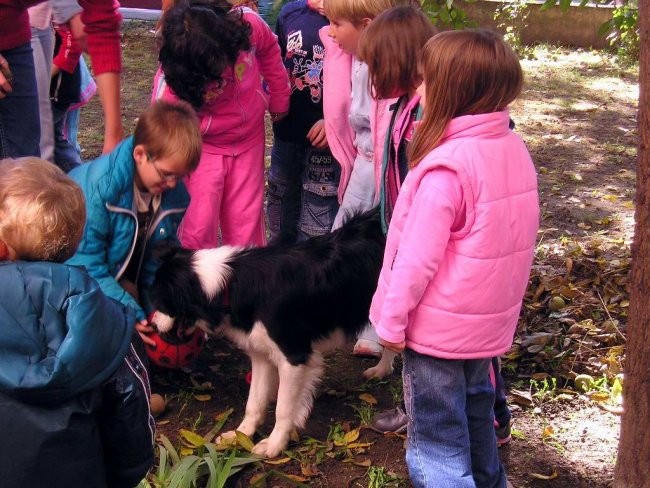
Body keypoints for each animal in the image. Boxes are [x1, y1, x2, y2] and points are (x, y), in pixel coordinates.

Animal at [151, 210, 394, 458]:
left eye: (160, 301)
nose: (151, 326)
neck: (230, 283)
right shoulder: (261, 353)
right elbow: (254, 401)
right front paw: (240, 435)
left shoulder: (293, 356)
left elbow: (283, 409)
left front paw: (274, 444)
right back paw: (381, 370)